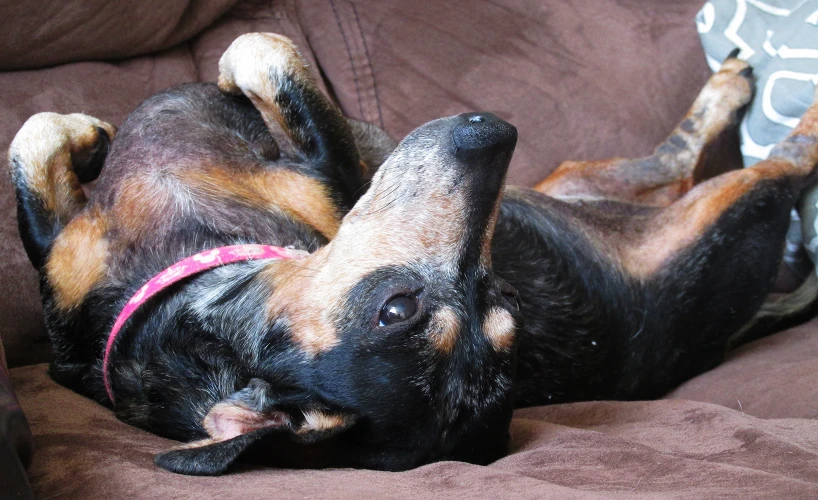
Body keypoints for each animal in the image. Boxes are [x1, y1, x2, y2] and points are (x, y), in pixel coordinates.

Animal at [6, 33, 816, 474]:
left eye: (501, 305)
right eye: (398, 310)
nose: (499, 134)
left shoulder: (330, 170)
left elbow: (264, 57)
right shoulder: (59, 260)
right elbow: (34, 138)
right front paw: (89, 134)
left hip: (710, 203)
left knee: (777, 160)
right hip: (605, 187)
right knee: (680, 159)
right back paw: (735, 89)